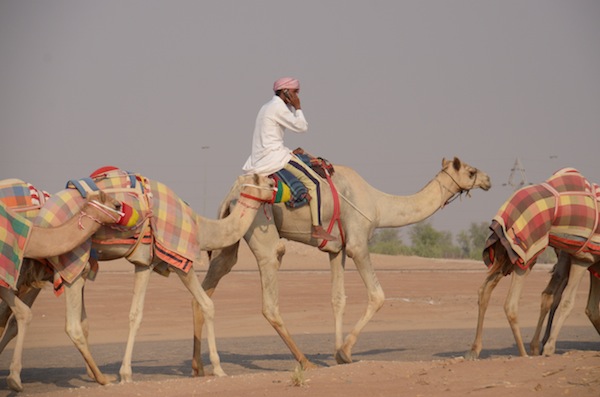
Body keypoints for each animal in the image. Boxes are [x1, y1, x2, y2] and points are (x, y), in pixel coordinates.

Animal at [193, 156, 492, 372]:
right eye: (471, 171)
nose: (489, 179)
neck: (379, 205)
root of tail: (232, 193)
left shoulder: (337, 250)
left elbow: (338, 299)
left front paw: (336, 351)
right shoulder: (358, 243)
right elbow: (377, 295)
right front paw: (345, 353)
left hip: (231, 232)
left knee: (213, 279)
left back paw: (199, 367)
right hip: (260, 226)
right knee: (270, 298)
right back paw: (304, 361)